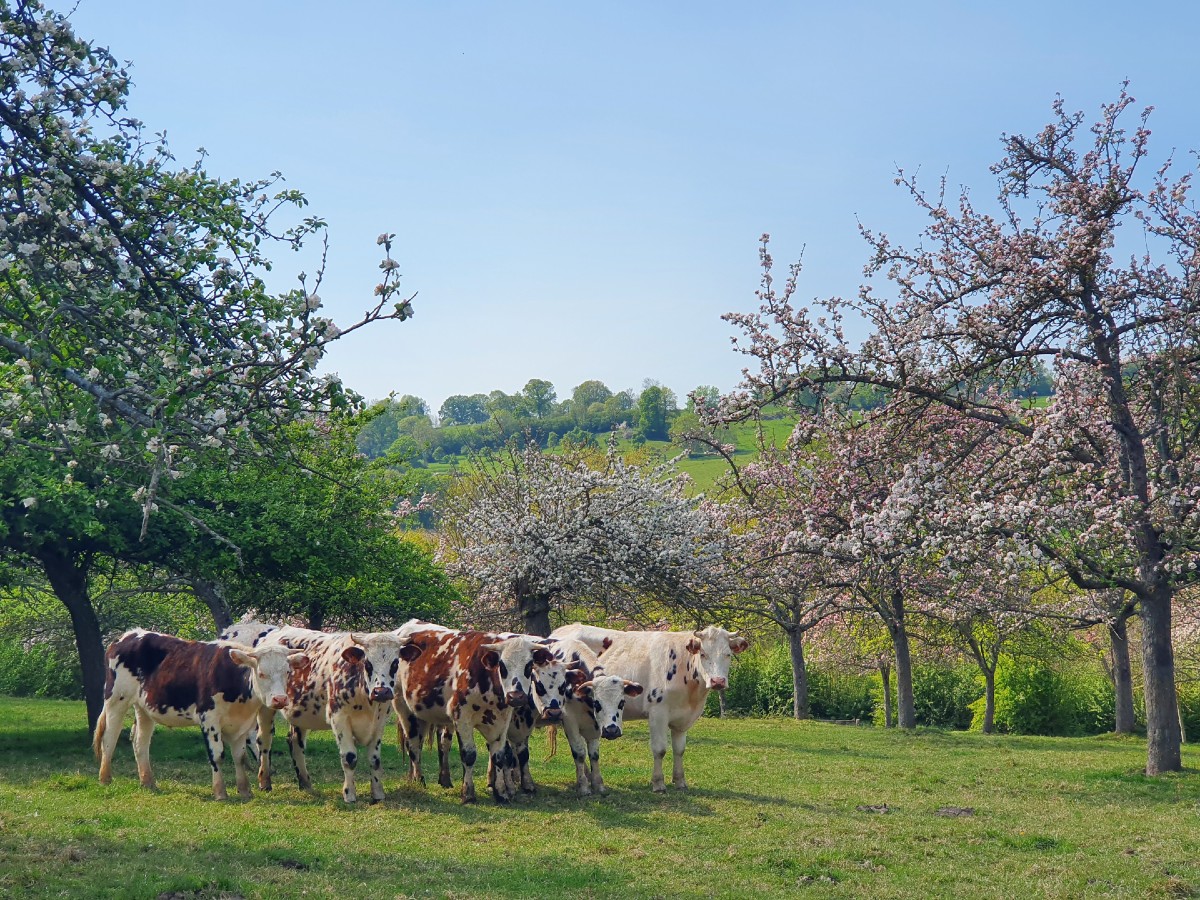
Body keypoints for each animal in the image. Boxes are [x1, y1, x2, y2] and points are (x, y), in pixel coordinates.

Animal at [92, 628, 309, 801]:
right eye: (262, 673)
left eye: (287, 672)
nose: (280, 699)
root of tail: (128, 635)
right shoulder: (209, 719)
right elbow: (218, 755)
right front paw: (220, 793)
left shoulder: (242, 724)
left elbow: (240, 757)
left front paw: (245, 791)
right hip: (116, 699)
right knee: (109, 737)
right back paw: (105, 778)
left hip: (144, 708)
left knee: (140, 743)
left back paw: (148, 782)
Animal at [250, 628, 424, 801]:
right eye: (367, 663)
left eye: (395, 663)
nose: (381, 692)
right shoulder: (339, 718)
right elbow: (349, 757)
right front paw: (349, 794)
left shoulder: (379, 722)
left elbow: (375, 760)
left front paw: (378, 794)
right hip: (267, 706)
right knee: (264, 741)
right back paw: (265, 782)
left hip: (300, 713)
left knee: (295, 742)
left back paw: (305, 783)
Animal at [398, 624, 556, 806]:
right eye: (502, 666)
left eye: (529, 666)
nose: (515, 696)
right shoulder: (462, 717)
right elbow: (469, 755)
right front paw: (468, 793)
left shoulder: (502, 721)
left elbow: (500, 756)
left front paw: (501, 793)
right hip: (404, 709)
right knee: (413, 745)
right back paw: (418, 780)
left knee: (437, 743)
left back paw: (439, 779)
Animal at [549, 624, 739, 792]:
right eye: (703, 654)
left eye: (728, 654)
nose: (718, 681)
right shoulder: (657, 712)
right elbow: (659, 749)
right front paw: (658, 783)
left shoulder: (683, 719)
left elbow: (679, 750)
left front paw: (680, 781)